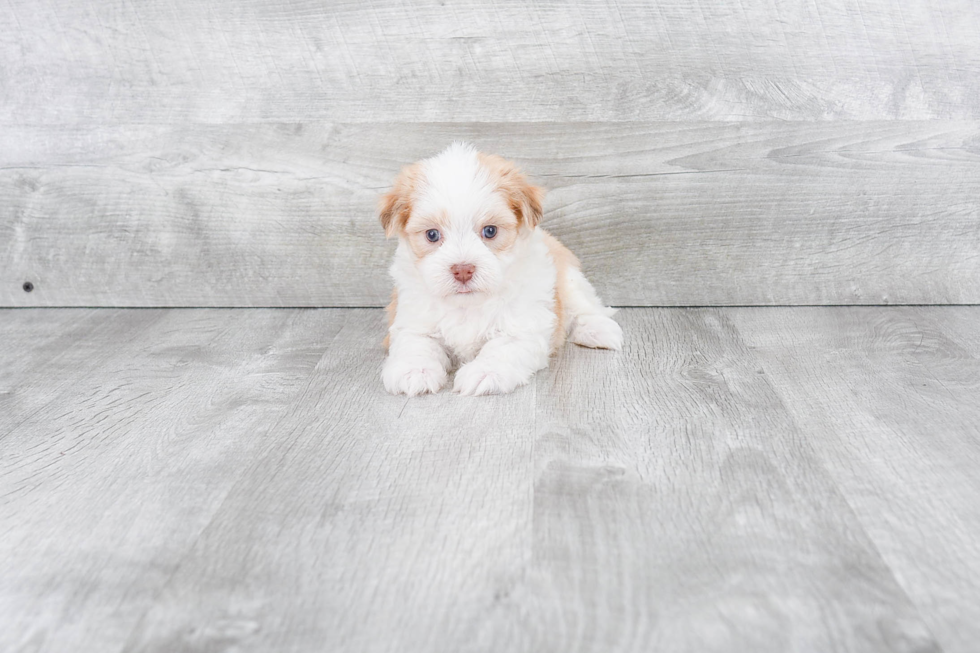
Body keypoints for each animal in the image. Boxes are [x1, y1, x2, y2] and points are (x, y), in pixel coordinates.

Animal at [378, 144, 620, 398]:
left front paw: (485, 372)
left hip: (568, 277)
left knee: (584, 308)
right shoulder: (412, 320)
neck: (467, 305)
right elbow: (416, 343)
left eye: (490, 231)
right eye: (432, 234)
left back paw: (598, 331)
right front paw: (415, 370)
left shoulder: (523, 326)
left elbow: (503, 347)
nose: (463, 270)